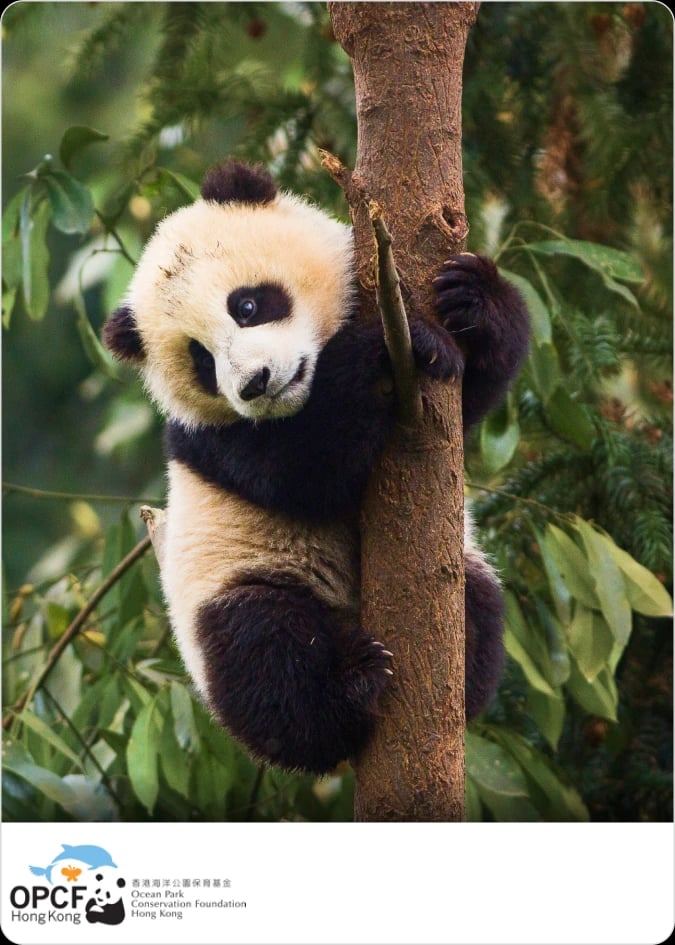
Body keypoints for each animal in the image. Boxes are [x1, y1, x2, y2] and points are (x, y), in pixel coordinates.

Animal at [103, 159, 529, 775]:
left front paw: (471, 297)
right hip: (237, 584)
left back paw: (462, 679)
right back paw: (350, 687)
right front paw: (389, 347)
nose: (255, 384)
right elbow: (305, 470)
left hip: (466, 565)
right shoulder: (213, 440)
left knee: (480, 600)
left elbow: (473, 394)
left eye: (247, 305)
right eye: (201, 361)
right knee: (264, 655)